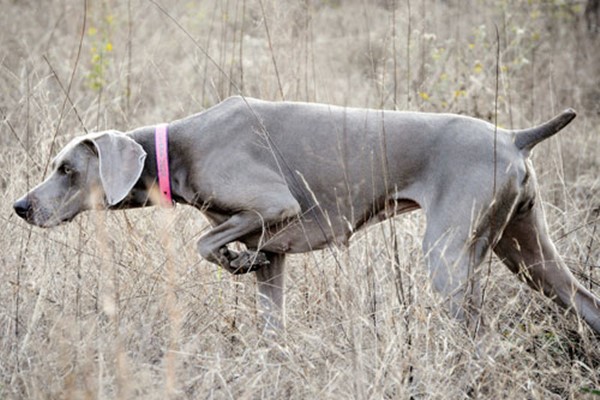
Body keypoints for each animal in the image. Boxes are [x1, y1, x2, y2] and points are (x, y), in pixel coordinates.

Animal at [12, 96, 600, 334]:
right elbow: (269, 312)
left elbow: (203, 245)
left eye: (66, 169)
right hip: (525, 249)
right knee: (584, 301)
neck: (177, 147)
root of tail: (515, 137)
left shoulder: (275, 206)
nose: (20, 206)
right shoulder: (274, 252)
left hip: (449, 255)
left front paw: (233, 261)